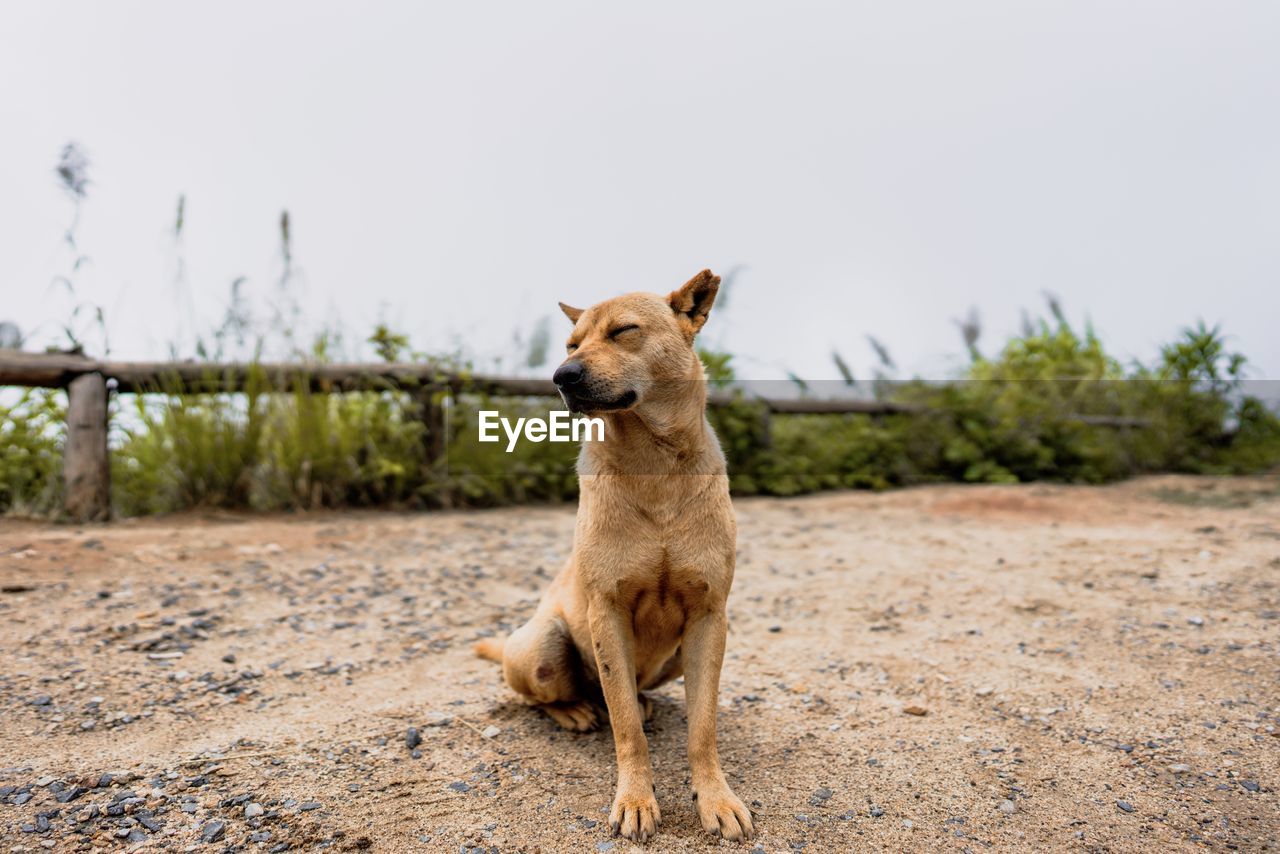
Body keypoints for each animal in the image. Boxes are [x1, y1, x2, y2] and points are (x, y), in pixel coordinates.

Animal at [476, 272, 752, 839]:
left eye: (624, 331)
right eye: (571, 344)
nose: (561, 376)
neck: (654, 465)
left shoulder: (710, 616)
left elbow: (702, 728)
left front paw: (715, 798)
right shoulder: (607, 611)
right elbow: (624, 725)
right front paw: (636, 800)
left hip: (675, 657)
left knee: (635, 692)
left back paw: (641, 701)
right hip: (542, 644)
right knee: (547, 695)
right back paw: (576, 709)